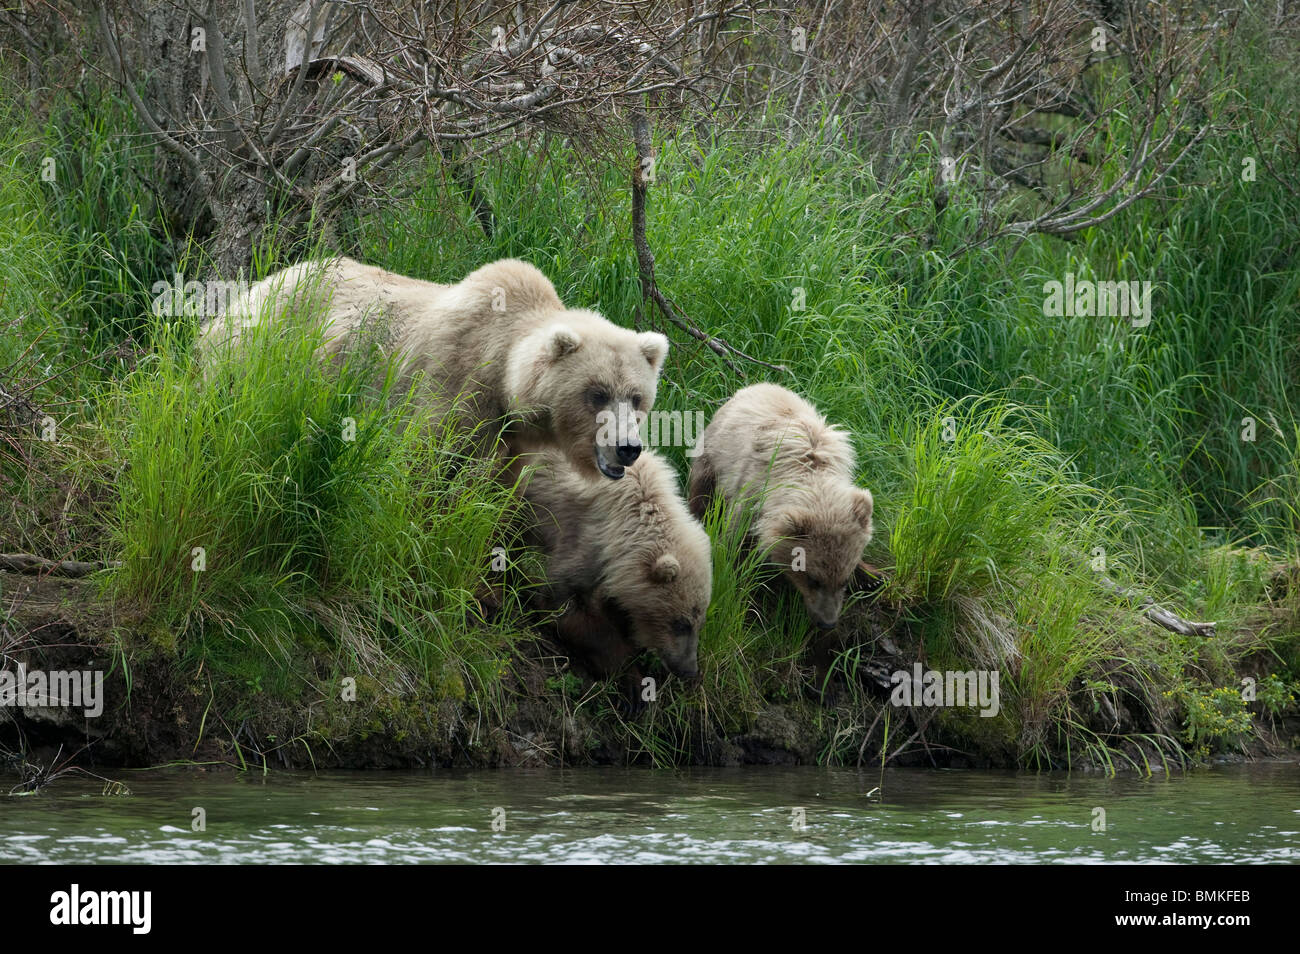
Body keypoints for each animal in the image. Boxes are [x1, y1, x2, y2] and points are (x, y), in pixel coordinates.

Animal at [197, 257, 669, 480]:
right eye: (596, 393)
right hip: (257, 354)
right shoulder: (451, 389)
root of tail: (260, 284)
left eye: (636, 397)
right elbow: (424, 463)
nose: (628, 447)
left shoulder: (510, 440)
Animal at [512, 448, 712, 699]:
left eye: (699, 621)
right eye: (681, 623)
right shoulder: (585, 540)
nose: (689, 670)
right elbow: (562, 599)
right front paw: (632, 680)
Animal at [687, 383, 873, 629]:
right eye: (813, 579)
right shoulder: (750, 494)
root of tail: (756, 385)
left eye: (844, 579)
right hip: (712, 457)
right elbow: (735, 545)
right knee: (701, 495)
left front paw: (872, 577)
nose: (827, 622)